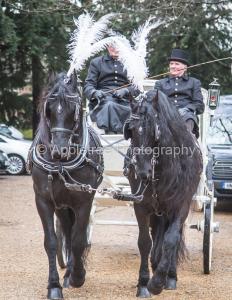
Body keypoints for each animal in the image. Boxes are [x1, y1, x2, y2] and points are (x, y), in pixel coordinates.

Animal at [28, 71, 103, 298]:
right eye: (49, 109)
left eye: (74, 109)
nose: (59, 150)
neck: (61, 165)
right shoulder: (44, 200)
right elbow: (52, 242)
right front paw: (53, 286)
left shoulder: (84, 201)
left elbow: (79, 241)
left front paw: (78, 276)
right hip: (61, 206)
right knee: (67, 233)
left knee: (75, 236)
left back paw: (72, 273)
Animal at [123, 89, 203, 298]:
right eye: (131, 130)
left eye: (154, 130)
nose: (142, 171)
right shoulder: (142, 205)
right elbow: (145, 242)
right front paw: (144, 284)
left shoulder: (181, 205)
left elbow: (171, 239)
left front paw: (158, 281)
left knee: (172, 236)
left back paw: (170, 275)